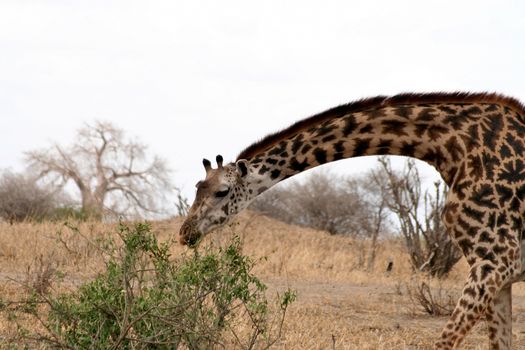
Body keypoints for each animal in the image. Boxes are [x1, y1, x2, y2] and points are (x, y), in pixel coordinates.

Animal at [179, 91, 524, 348]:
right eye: (197, 187)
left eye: (222, 191)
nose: (185, 232)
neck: (454, 149)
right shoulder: (499, 273)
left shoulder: (494, 262)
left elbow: (444, 342)